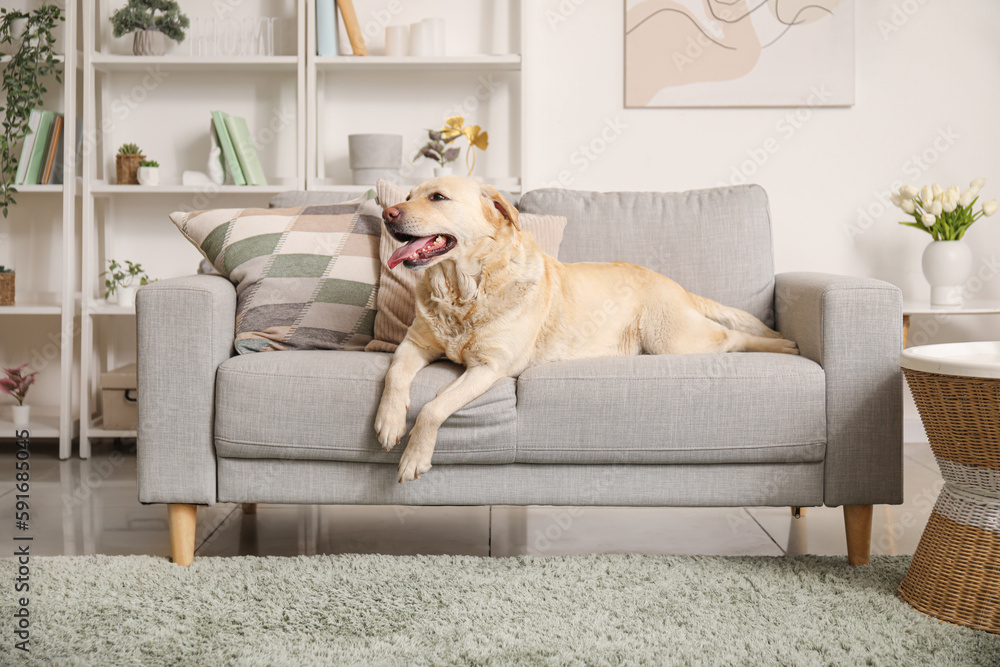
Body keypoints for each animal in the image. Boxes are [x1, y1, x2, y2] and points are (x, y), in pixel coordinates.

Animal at [376, 175, 796, 482]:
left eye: (438, 197)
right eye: (408, 195)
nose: (388, 214)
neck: (463, 291)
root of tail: (673, 283)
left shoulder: (490, 367)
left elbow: (433, 407)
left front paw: (414, 457)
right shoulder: (414, 345)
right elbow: (395, 374)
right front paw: (389, 421)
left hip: (673, 340)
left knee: (731, 337)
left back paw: (783, 345)